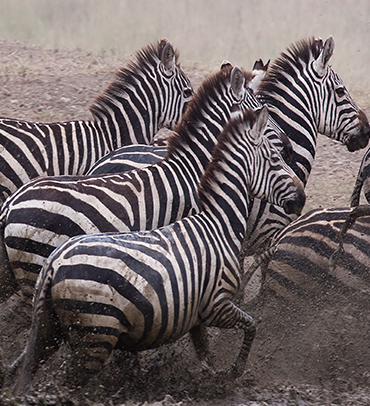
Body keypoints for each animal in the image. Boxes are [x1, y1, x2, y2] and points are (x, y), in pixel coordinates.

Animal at [13, 106, 304, 394]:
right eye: (275, 159)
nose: (301, 199)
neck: (218, 223)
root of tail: (54, 264)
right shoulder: (217, 304)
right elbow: (251, 325)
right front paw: (234, 371)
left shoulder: (197, 314)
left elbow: (206, 354)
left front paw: (211, 379)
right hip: (95, 333)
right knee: (69, 382)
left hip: (50, 326)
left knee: (27, 363)